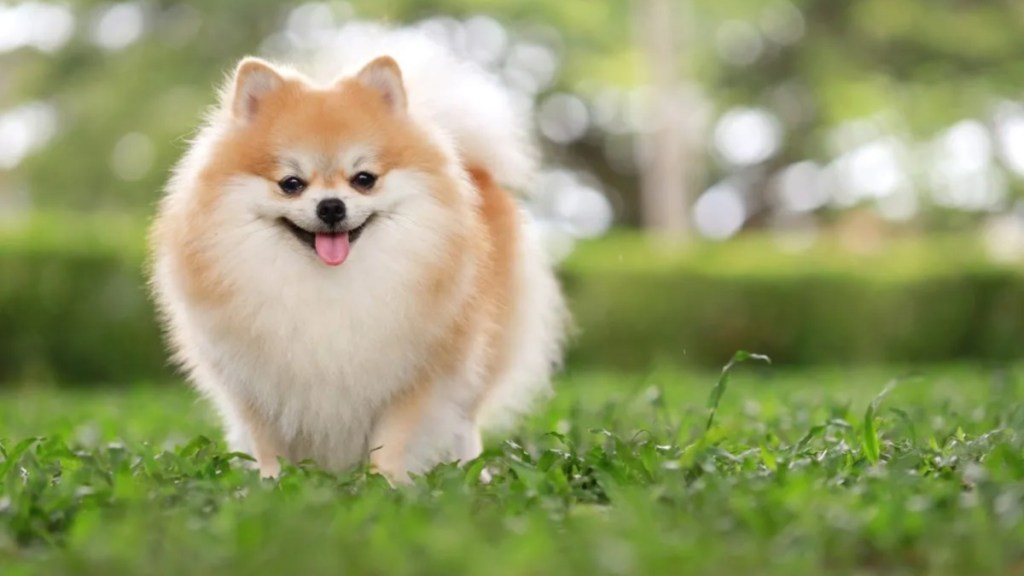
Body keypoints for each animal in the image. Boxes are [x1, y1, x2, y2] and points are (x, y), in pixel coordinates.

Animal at [149, 24, 569, 479]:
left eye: (364, 179)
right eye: (291, 183)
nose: (331, 206)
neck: (330, 286)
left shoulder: (415, 374)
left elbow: (394, 439)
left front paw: (384, 482)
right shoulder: (254, 382)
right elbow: (268, 445)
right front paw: (271, 482)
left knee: (464, 421)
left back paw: (474, 472)